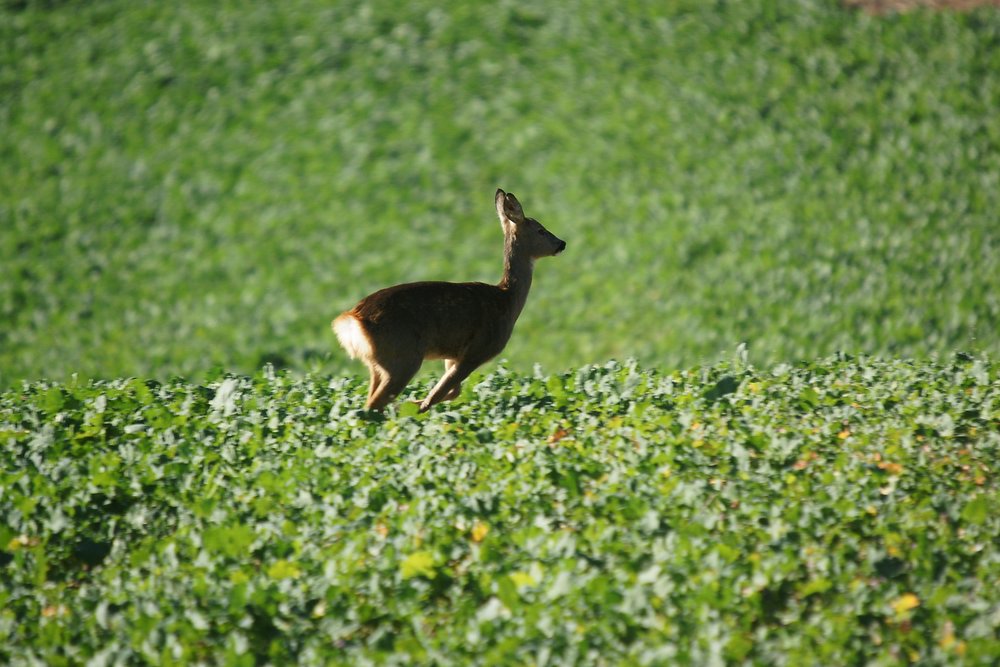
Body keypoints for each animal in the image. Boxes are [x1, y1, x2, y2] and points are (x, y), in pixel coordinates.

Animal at [332, 189, 566, 412]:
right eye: (541, 230)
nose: (561, 243)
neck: (506, 299)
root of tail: (352, 319)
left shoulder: (453, 354)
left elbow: (452, 392)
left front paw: (412, 403)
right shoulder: (477, 351)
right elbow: (439, 394)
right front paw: (414, 405)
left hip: (377, 363)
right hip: (403, 356)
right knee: (374, 404)